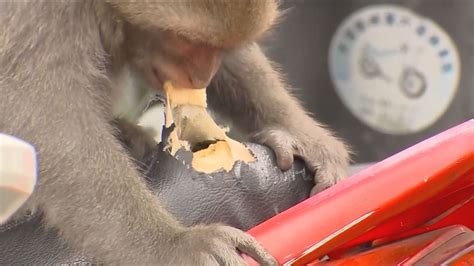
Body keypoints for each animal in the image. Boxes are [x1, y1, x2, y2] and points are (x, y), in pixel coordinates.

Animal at [0, 1, 348, 264]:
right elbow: (45, 111)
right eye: (185, 40)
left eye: (215, 47)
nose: (202, 76)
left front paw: (302, 134)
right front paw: (175, 244)